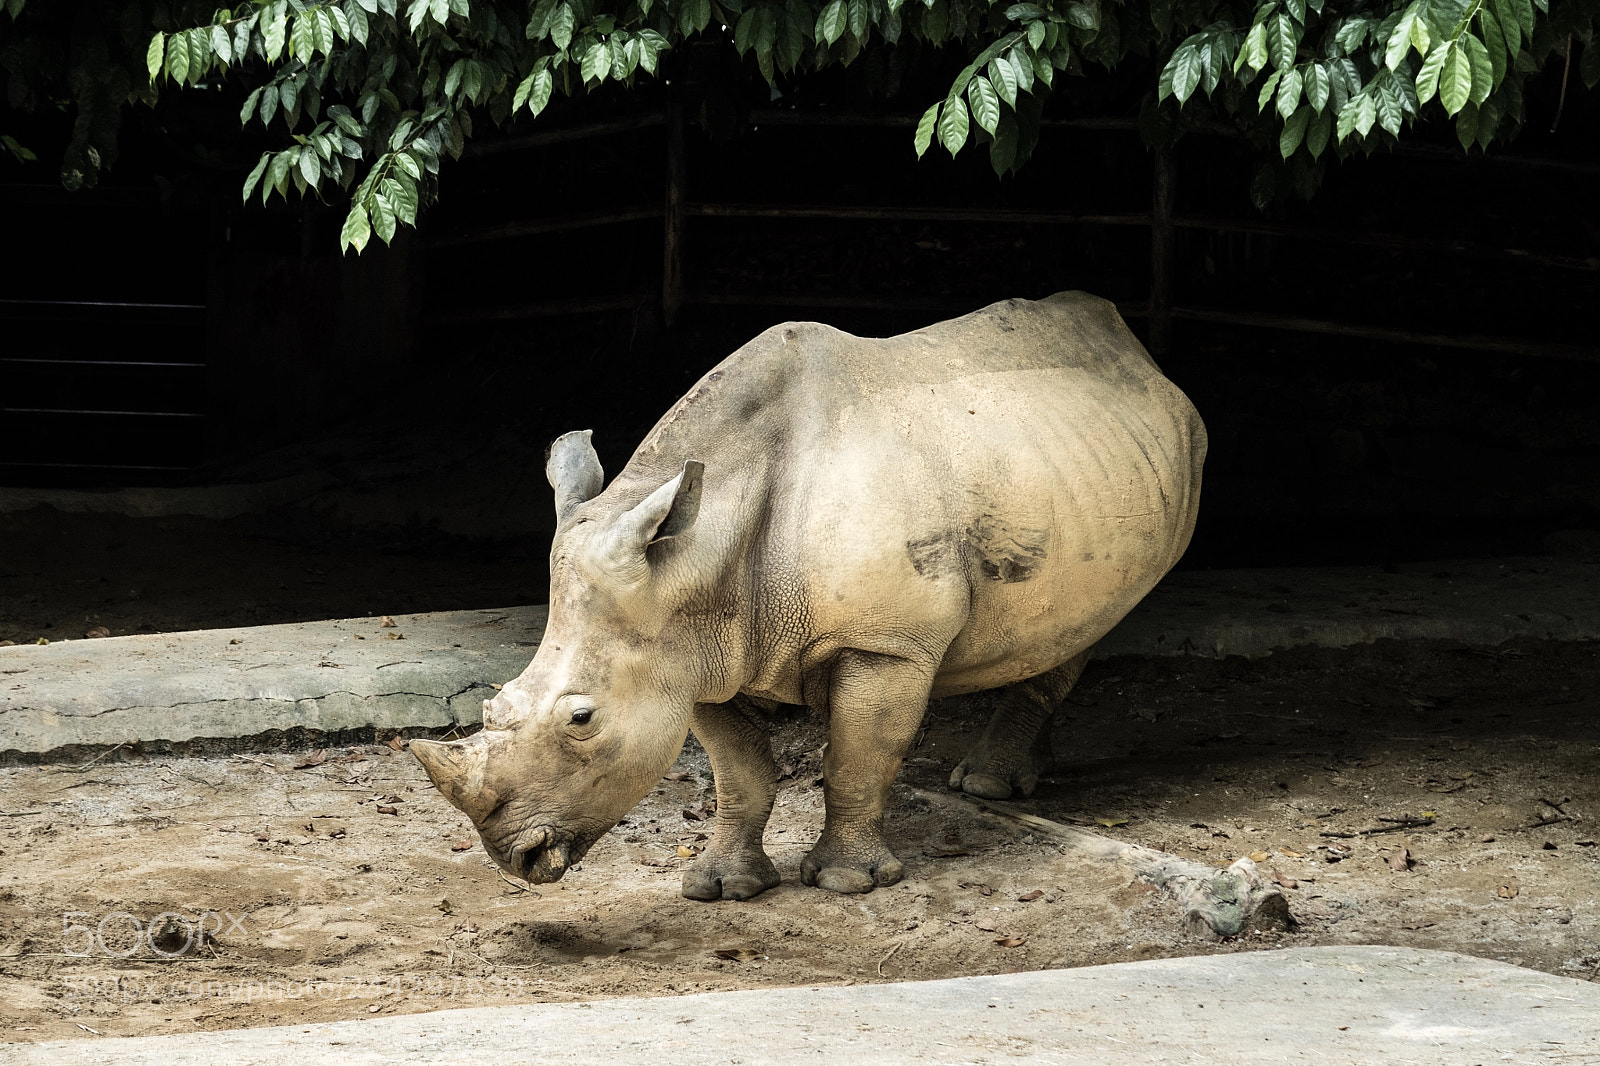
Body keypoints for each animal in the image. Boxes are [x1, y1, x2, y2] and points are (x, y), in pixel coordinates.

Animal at [412, 292, 1205, 898]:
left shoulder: (885, 643)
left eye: (582, 720)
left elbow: (856, 757)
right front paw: (722, 887)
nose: (513, 857)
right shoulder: (696, 650)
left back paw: (985, 788)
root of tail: (1136, 350)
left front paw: (847, 883)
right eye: (495, 706)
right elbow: (740, 774)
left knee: (1096, 620)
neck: (696, 558)